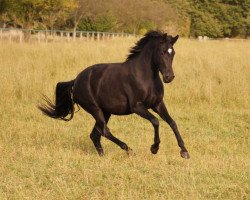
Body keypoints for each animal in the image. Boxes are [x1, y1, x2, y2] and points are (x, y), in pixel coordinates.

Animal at [38, 30, 189, 159]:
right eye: (162, 52)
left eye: (173, 53)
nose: (169, 77)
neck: (145, 76)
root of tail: (76, 81)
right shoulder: (137, 107)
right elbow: (156, 121)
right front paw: (154, 148)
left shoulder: (157, 104)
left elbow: (172, 122)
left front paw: (184, 151)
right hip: (95, 109)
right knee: (104, 131)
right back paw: (129, 150)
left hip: (106, 112)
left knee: (95, 134)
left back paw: (102, 155)